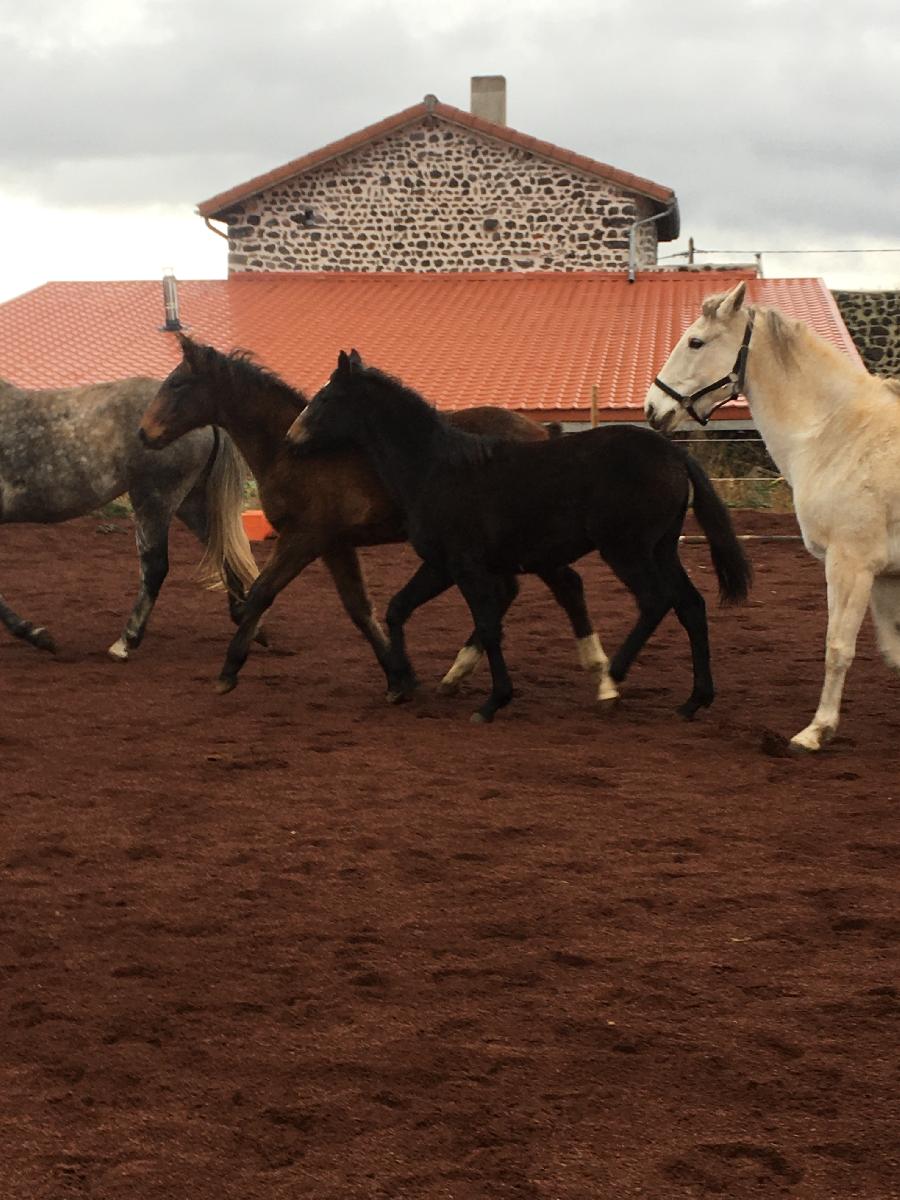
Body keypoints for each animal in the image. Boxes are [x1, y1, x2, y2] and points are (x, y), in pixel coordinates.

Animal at [0, 374, 260, 657]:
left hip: (155, 501)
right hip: (191, 502)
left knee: (155, 567)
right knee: (224, 550)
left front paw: (36, 634)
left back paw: (126, 641)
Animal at [139, 336, 614, 696]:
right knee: (514, 591)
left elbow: (261, 594)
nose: (144, 434)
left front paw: (229, 670)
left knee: (558, 587)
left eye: (178, 383)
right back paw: (460, 672)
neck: (293, 452)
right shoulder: (334, 545)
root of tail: (544, 432)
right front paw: (399, 676)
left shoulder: (303, 539)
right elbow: (359, 609)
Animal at [289, 348, 753, 720]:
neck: (435, 468)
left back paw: (614, 677)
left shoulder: (464, 566)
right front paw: (402, 685)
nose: (292, 439)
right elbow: (398, 609)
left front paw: (493, 702)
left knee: (655, 601)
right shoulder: (441, 565)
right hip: (662, 549)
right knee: (690, 605)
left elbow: (488, 625)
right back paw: (693, 701)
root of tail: (674, 454)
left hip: (627, 550)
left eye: (326, 397)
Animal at [648, 279, 900, 748]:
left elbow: (838, 647)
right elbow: (894, 651)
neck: (833, 433)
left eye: (695, 342)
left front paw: (817, 731)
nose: (652, 408)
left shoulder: (850, 565)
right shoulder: (885, 575)